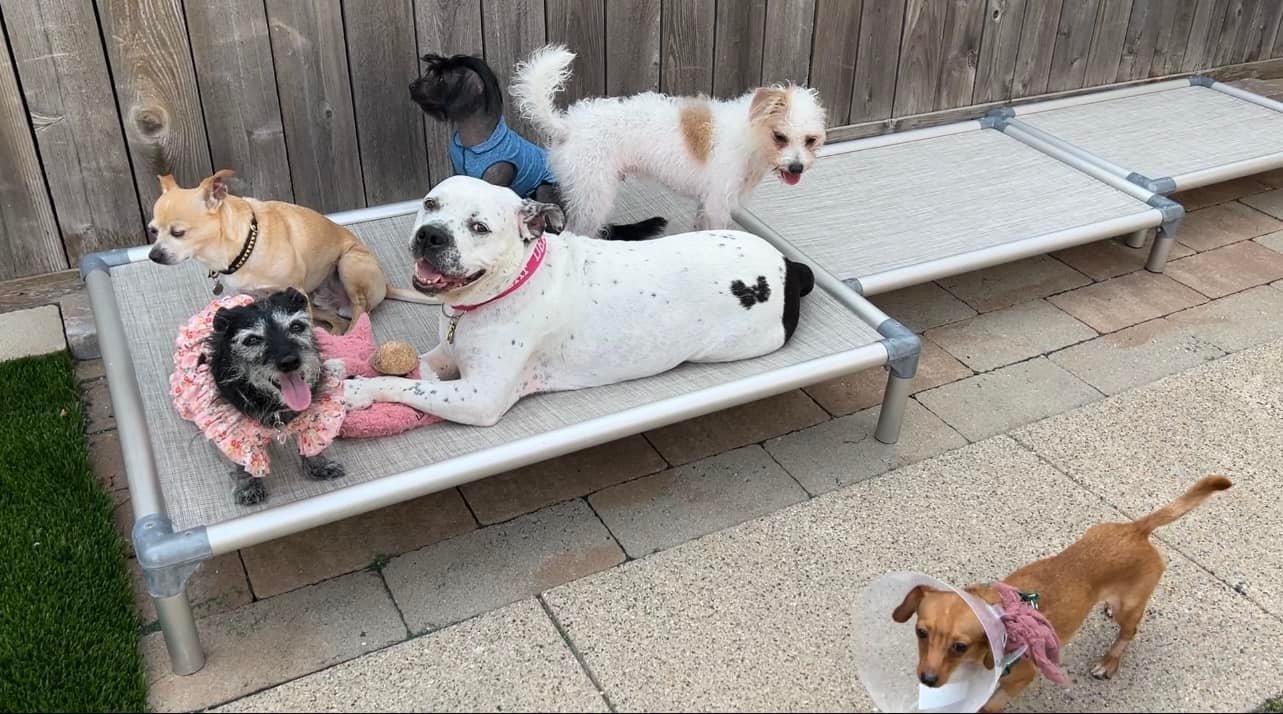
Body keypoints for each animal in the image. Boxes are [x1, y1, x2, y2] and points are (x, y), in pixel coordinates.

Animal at [147, 169, 433, 330]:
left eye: (178, 233)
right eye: (153, 231)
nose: (153, 255)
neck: (243, 248)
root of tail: (385, 286)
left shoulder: (294, 290)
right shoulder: (258, 297)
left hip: (348, 263)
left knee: (360, 310)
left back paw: (352, 336)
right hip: (315, 299)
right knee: (335, 319)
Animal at [205, 287, 346, 505]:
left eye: (296, 326)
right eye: (252, 340)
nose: (290, 361)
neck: (278, 407)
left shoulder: (313, 419)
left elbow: (313, 444)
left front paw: (320, 466)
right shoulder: (234, 432)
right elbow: (242, 461)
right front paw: (248, 487)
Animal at [505, 47, 826, 237]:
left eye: (810, 140)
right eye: (780, 137)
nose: (796, 168)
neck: (749, 134)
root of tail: (567, 126)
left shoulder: (706, 203)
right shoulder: (718, 204)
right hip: (593, 196)